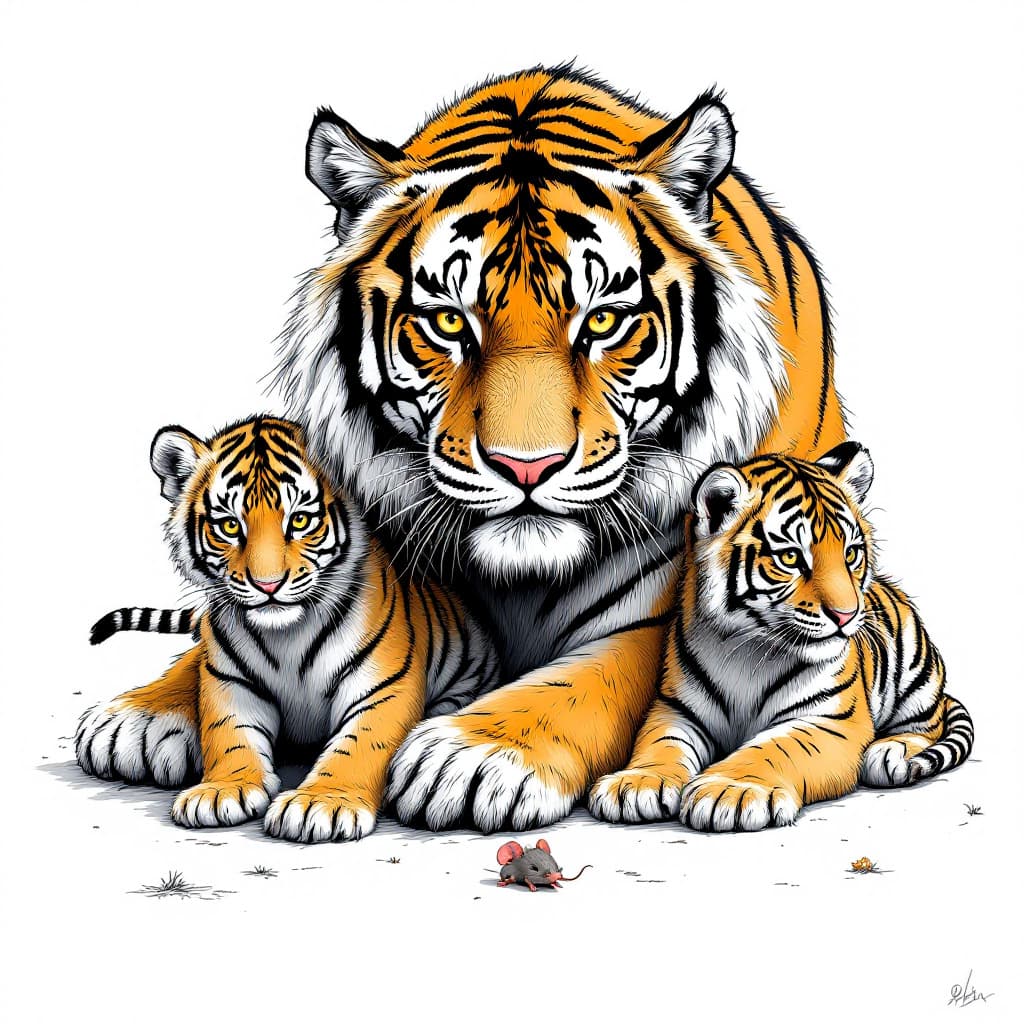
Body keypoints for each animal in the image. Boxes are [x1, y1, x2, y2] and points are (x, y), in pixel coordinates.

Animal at [76, 416, 499, 841]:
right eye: (229, 525)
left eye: (299, 520)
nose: (268, 585)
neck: (286, 637)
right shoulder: (229, 683)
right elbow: (229, 737)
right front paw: (220, 791)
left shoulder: (384, 685)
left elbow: (360, 743)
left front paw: (323, 803)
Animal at [589, 442, 974, 830]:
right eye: (790, 557)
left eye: (851, 554)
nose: (846, 615)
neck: (745, 651)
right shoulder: (676, 709)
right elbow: (660, 742)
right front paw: (637, 783)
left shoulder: (828, 720)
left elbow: (775, 748)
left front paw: (730, 790)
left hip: (915, 678)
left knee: (927, 725)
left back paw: (889, 752)